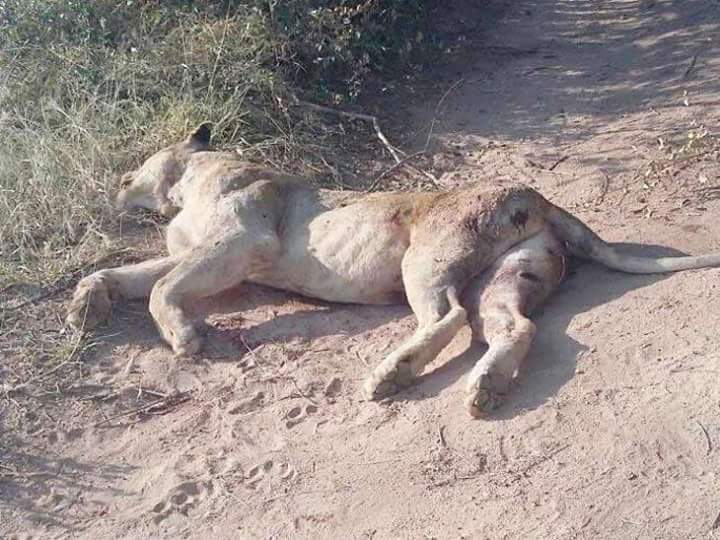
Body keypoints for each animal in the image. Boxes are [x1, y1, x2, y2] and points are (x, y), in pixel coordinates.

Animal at [66, 124, 720, 417]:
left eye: (133, 169)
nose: (115, 186)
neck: (188, 182)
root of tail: (535, 195)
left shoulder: (242, 243)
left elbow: (161, 286)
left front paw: (182, 336)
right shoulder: (206, 253)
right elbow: (133, 274)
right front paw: (86, 304)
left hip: (425, 258)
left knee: (449, 318)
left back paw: (392, 375)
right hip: (508, 277)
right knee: (511, 327)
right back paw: (484, 387)